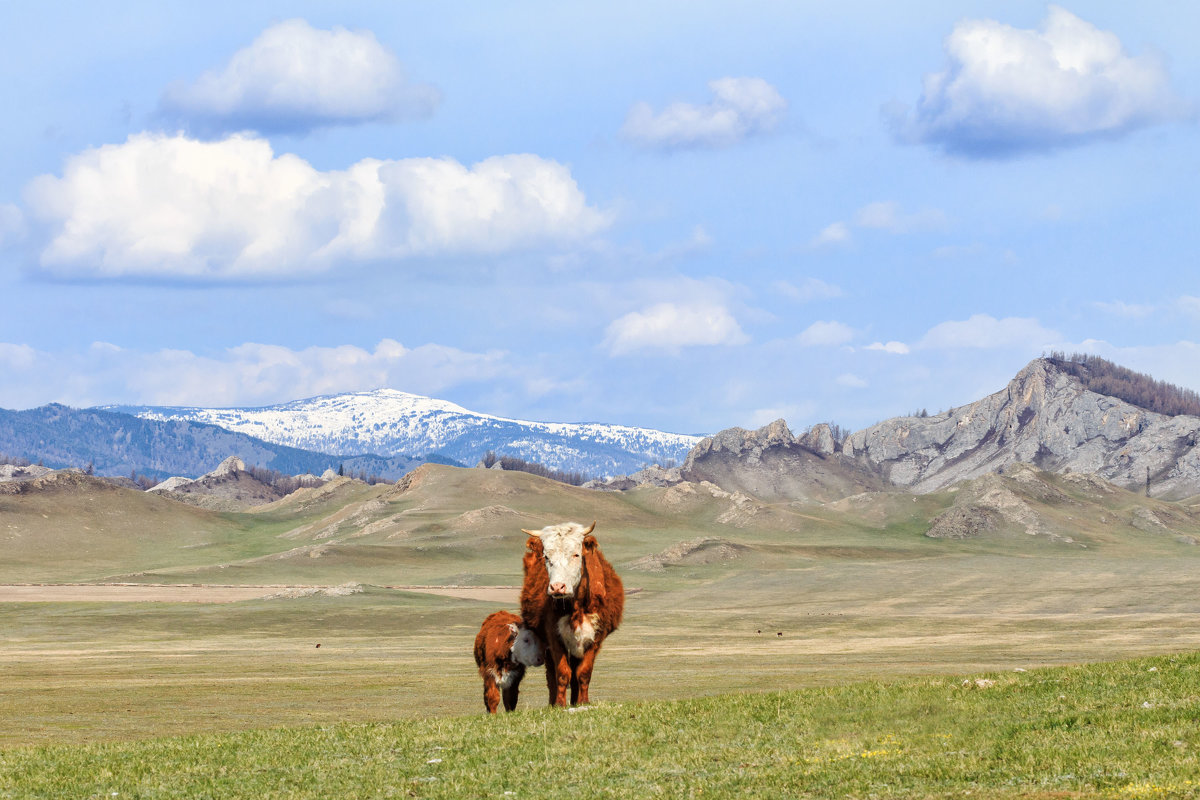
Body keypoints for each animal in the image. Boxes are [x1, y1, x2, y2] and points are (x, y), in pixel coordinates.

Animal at [518, 525, 624, 705]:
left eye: (576, 554)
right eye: (546, 556)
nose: (557, 587)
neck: (577, 607)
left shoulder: (595, 638)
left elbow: (583, 672)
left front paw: (584, 702)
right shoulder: (554, 637)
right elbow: (562, 673)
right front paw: (559, 704)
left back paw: (575, 701)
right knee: (551, 674)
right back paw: (553, 703)